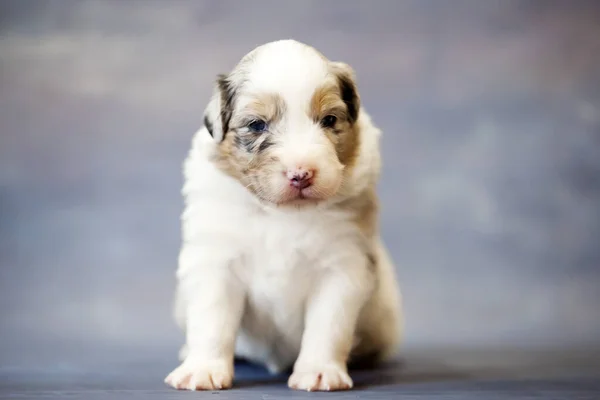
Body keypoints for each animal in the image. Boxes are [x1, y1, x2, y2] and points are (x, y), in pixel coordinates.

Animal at [164, 39, 404, 390]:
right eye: (256, 125)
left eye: (329, 120)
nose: (301, 174)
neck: (282, 214)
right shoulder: (216, 262)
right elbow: (212, 320)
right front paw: (203, 370)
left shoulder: (342, 266)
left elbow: (327, 326)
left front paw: (319, 371)